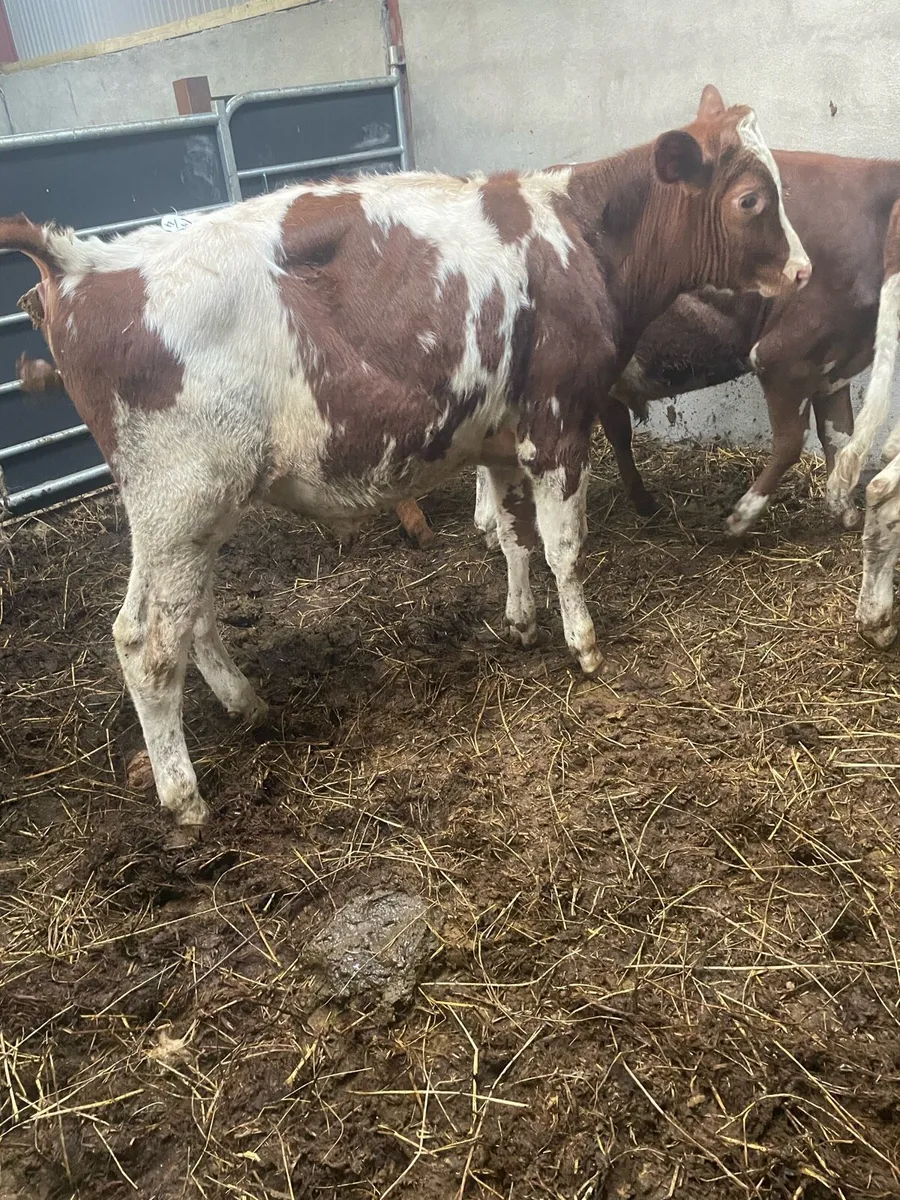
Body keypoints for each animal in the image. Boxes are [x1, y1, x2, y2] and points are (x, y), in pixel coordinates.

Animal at [0, 86, 809, 829]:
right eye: (749, 199)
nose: (803, 271)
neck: (580, 238)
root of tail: (83, 260)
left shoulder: (500, 433)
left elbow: (511, 535)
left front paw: (520, 622)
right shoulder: (557, 423)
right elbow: (564, 546)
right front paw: (583, 645)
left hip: (202, 508)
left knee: (190, 615)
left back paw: (246, 703)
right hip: (178, 496)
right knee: (144, 640)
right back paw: (184, 794)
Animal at [474, 150, 900, 543]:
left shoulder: (833, 364)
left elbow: (838, 436)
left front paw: (844, 508)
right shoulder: (783, 354)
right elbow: (792, 442)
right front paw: (740, 517)